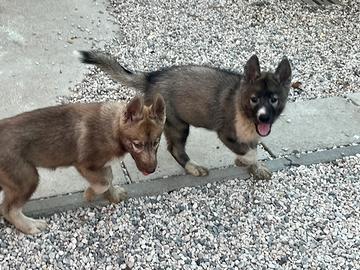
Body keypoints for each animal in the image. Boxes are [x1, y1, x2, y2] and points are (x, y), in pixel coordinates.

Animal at [0, 94, 166, 233]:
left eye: (156, 142)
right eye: (137, 144)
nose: (151, 170)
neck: (113, 129)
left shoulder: (103, 166)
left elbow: (108, 179)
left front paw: (112, 195)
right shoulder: (84, 165)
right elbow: (103, 183)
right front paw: (90, 194)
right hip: (27, 178)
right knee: (8, 209)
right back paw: (30, 226)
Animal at [77, 51, 292, 180]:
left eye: (274, 99)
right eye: (254, 99)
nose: (264, 118)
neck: (243, 110)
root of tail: (151, 77)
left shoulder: (253, 135)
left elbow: (252, 149)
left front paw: (255, 167)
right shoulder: (226, 134)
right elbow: (249, 151)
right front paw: (245, 161)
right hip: (177, 124)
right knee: (175, 149)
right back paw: (192, 167)